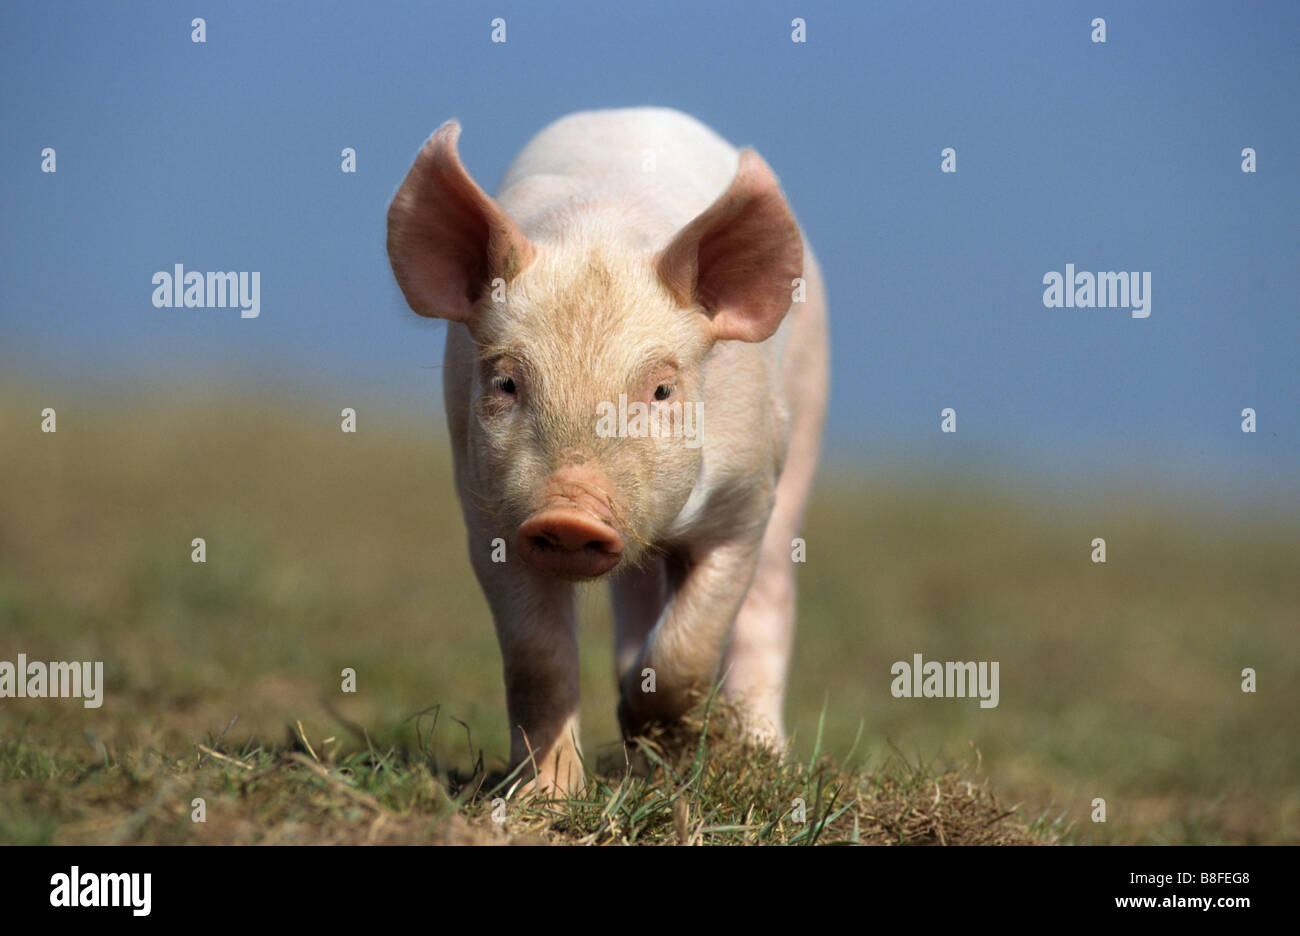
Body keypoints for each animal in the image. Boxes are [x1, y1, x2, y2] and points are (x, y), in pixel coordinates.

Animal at [387, 109, 832, 795]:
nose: (570, 512)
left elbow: (691, 646)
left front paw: (664, 743)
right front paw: (544, 800)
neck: (601, 228)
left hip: (806, 418)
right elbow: (537, 660)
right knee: (637, 601)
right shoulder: (488, 514)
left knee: (770, 601)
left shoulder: (746, 500)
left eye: (661, 390)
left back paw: (764, 762)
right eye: (506, 383)